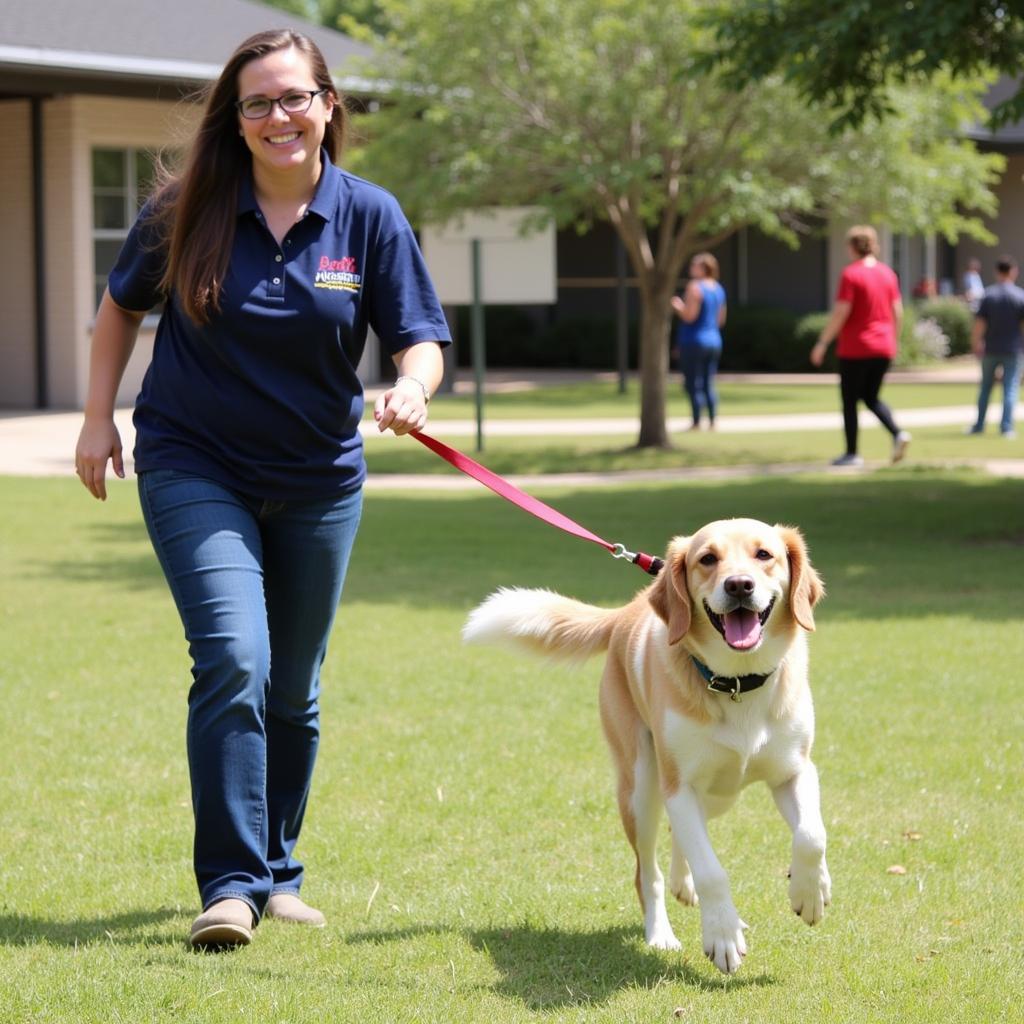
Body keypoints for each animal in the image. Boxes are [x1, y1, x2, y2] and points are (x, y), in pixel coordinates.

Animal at [464, 516, 831, 970]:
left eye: (764, 555)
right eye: (707, 559)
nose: (739, 585)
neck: (736, 683)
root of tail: (626, 611)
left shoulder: (794, 770)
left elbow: (812, 835)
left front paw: (810, 892)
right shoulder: (679, 784)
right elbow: (712, 871)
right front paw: (722, 935)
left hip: (717, 794)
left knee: (685, 833)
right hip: (640, 788)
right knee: (648, 873)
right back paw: (661, 933)